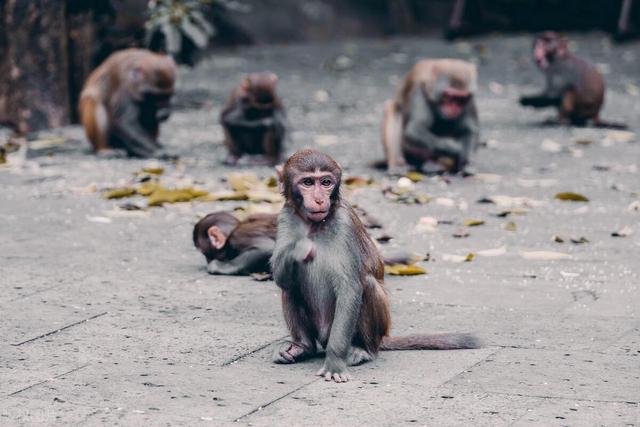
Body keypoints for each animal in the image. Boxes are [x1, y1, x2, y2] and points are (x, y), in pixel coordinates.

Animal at [268, 150, 478, 384]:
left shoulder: (345, 224)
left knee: (366, 285)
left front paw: (334, 362)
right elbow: (282, 279)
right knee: (290, 287)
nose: (319, 199)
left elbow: (350, 288)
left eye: (325, 182)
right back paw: (302, 347)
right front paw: (296, 251)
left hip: (365, 331)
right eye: (307, 182)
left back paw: (362, 350)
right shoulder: (285, 217)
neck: (315, 225)